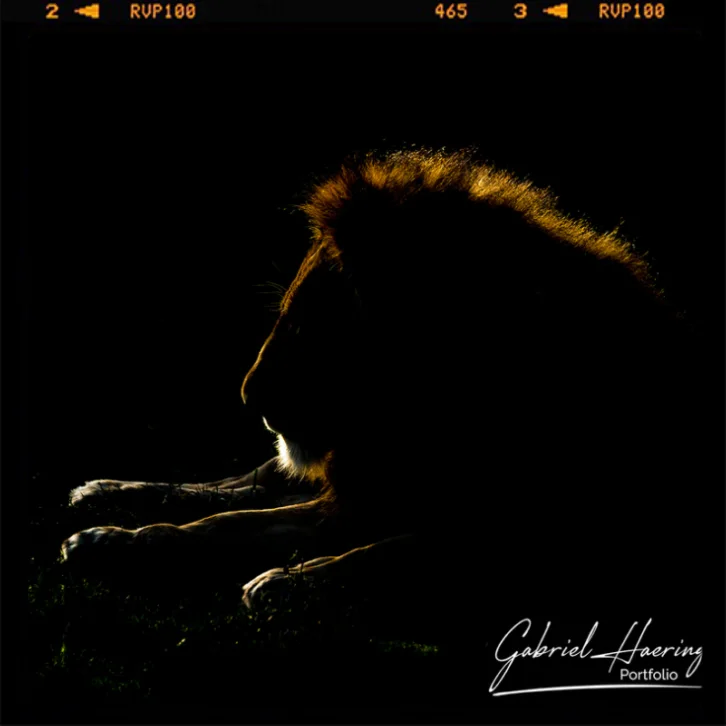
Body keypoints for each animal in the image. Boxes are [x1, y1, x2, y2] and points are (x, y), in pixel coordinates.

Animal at [61, 149, 701, 635]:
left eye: (306, 326)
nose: (248, 400)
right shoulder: (366, 492)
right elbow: (227, 522)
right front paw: (113, 541)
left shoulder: (522, 533)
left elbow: (390, 549)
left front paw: (286, 584)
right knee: (237, 482)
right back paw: (100, 498)